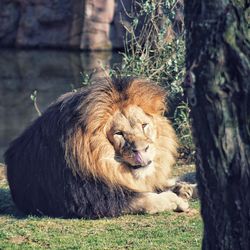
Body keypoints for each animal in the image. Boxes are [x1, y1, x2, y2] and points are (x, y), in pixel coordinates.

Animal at [3, 77, 192, 218]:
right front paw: (175, 200)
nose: (141, 150)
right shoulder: (93, 199)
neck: (104, 162)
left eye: (144, 125)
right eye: (119, 133)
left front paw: (182, 188)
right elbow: (147, 199)